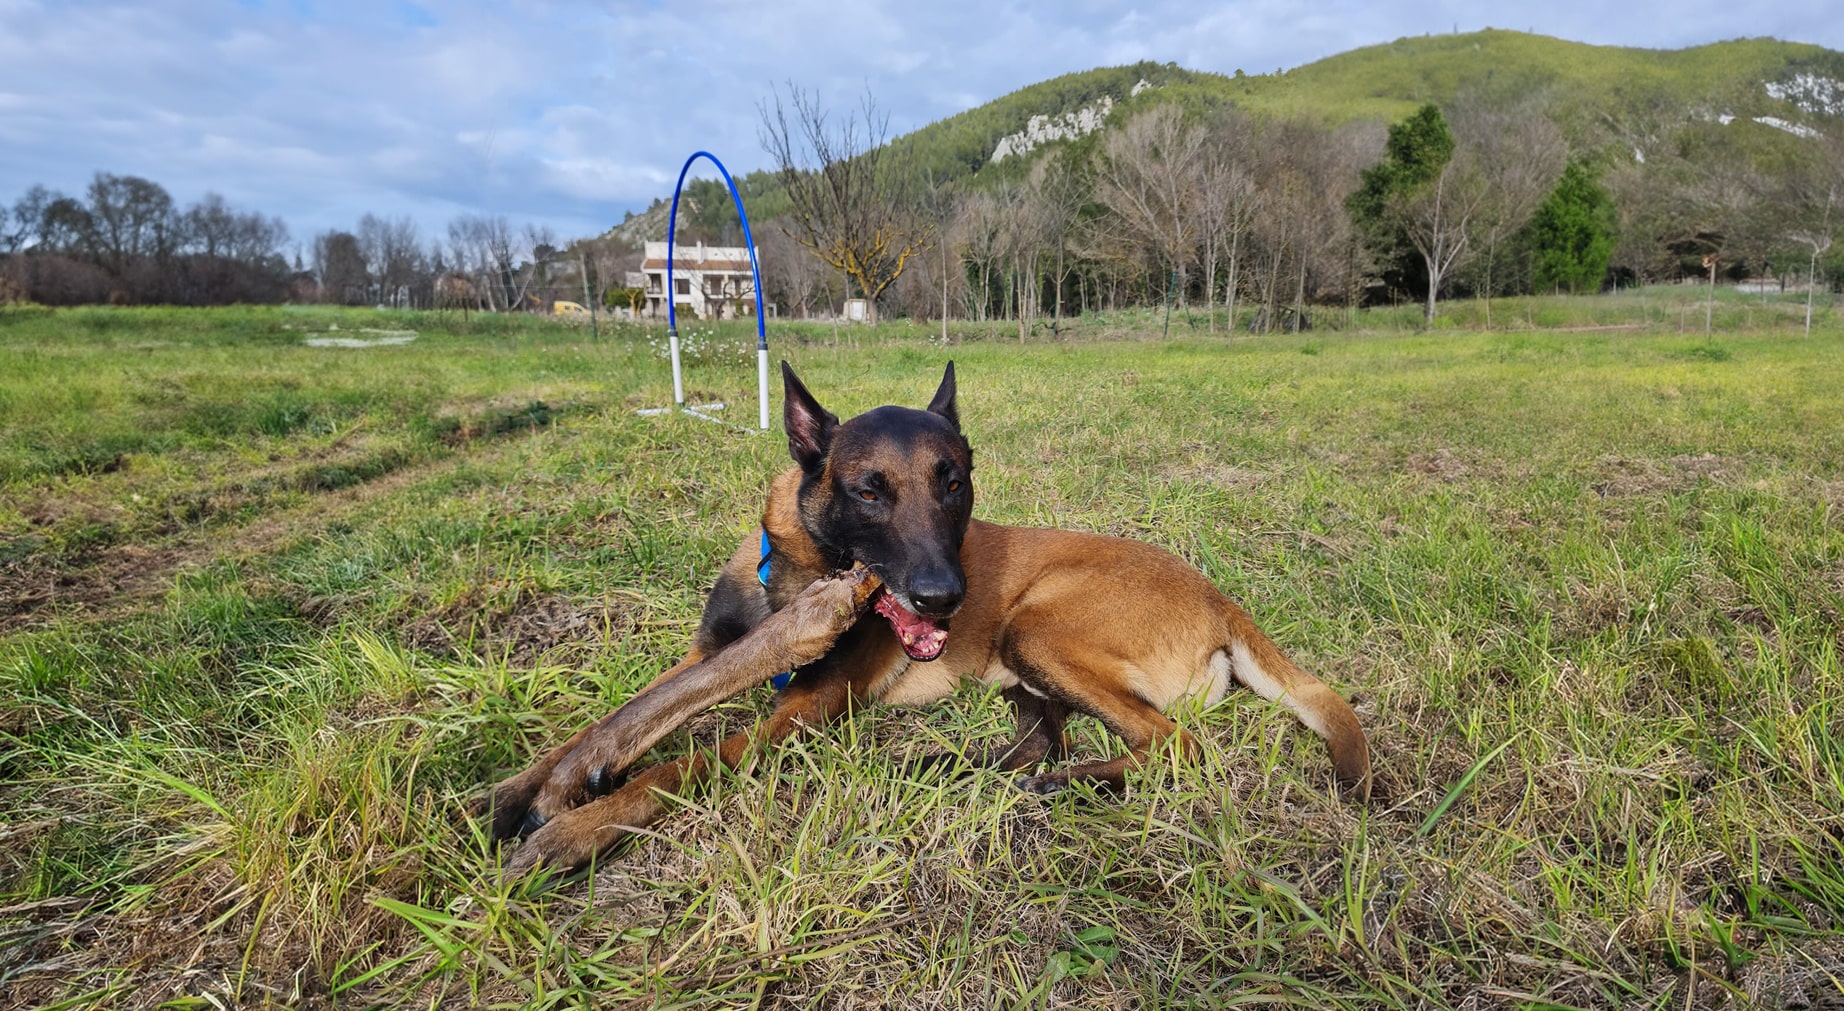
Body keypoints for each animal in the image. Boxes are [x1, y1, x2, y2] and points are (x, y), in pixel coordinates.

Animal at [490, 363, 1371, 878]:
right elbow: (625, 714)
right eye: (869, 490)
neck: (804, 564)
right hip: (1022, 668)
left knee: (1172, 744)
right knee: (1041, 740)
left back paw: (1053, 782)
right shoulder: (708, 653)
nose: (943, 596)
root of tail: (1222, 599)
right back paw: (953, 767)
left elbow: (684, 765)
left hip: (1038, 629)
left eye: (955, 481)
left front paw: (579, 826)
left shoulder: (804, 708)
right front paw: (530, 786)